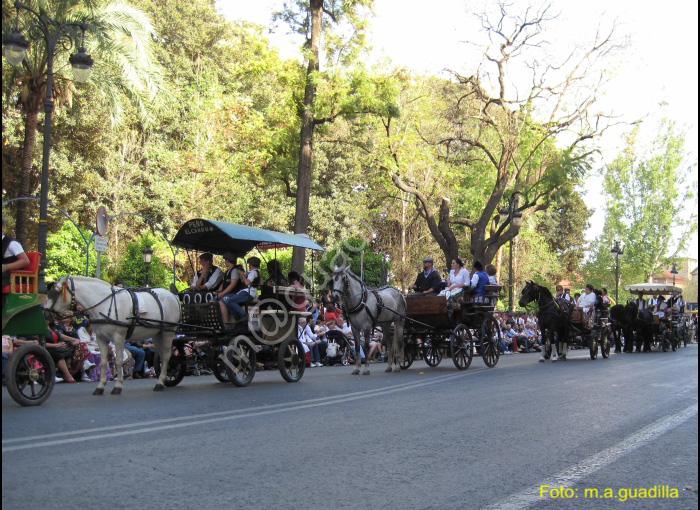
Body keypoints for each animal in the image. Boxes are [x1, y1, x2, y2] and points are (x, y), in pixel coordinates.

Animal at [44, 274, 180, 394]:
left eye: (56, 293)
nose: (45, 314)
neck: (104, 304)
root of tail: (173, 295)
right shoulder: (101, 338)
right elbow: (104, 361)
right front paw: (100, 386)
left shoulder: (118, 336)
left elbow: (118, 360)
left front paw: (118, 386)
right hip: (157, 333)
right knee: (162, 355)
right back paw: (163, 379)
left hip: (168, 331)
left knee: (166, 355)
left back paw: (160, 382)